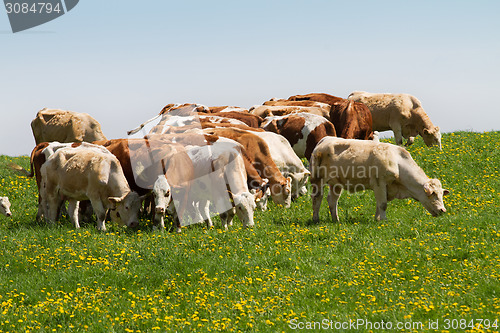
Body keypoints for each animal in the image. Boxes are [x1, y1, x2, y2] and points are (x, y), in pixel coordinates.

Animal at [308, 136, 450, 222]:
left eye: (441, 194)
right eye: (433, 194)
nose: (443, 210)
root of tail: (325, 139)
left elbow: (379, 204)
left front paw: (377, 219)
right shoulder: (379, 183)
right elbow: (382, 204)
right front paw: (384, 220)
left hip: (336, 184)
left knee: (332, 200)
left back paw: (336, 220)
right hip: (317, 179)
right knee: (317, 198)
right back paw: (316, 219)